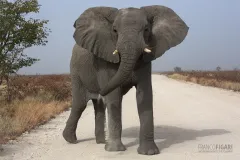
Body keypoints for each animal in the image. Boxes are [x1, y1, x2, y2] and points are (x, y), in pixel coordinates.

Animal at [62, 5, 189, 155]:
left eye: (146, 29)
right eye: (114, 30)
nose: (101, 91)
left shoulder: (145, 61)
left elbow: (144, 94)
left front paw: (149, 153)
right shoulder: (104, 61)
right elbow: (114, 96)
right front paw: (114, 150)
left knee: (99, 105)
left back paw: (101, 142)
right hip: (75, 71)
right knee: (80, 104)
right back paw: (71, 140)